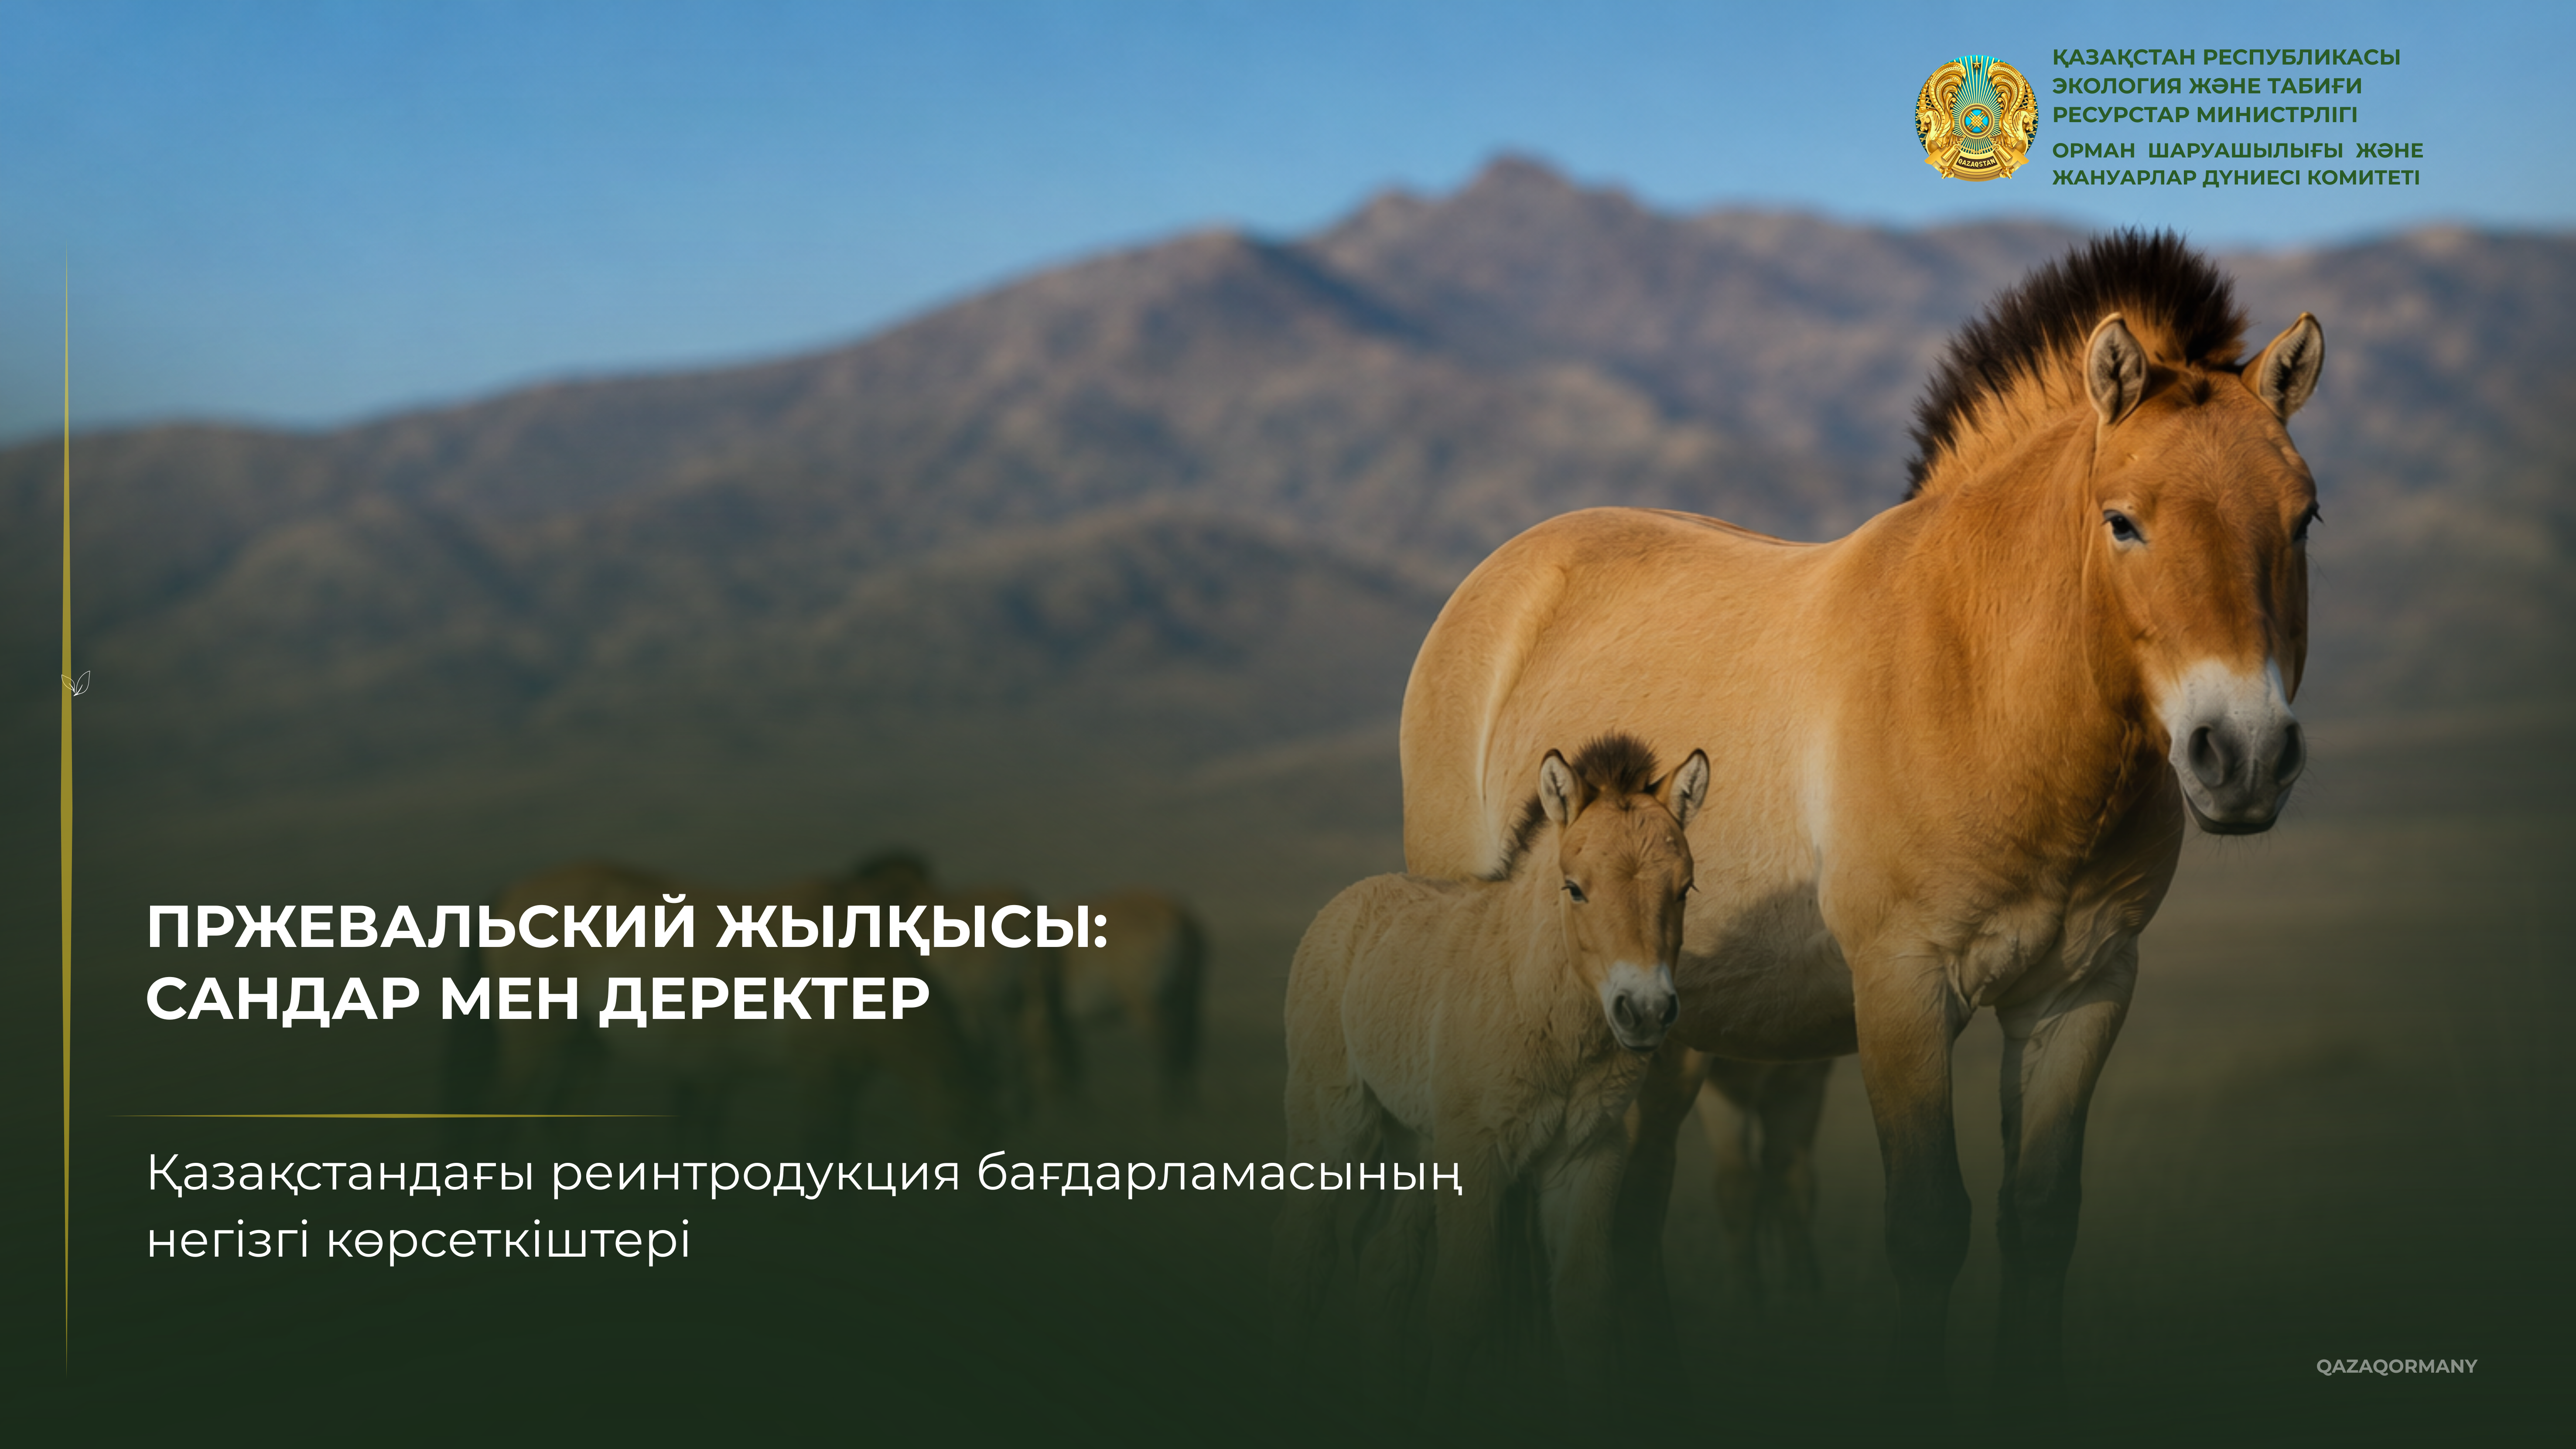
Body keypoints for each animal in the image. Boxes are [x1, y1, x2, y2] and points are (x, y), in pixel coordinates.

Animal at [1062, 887, 1208, 1107]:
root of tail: (1175, 913)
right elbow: (1072, 1065)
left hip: (1147, 1006)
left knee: (1168, 1049)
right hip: (1183, 1003)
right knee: (1185, 1051)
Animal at [1276, 733, 1709, 1406]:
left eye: (1684, 889)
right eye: (1574, 887)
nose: (1643, 1011)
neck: (1535, 1006)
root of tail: (1345, 905)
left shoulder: (1587, 1158)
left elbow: (1584, 1309)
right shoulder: (1475, 1156)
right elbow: (1462, 1305)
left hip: (1417, 1145)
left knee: (1383, 1266)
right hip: (1335, 1127)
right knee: (1308, 1258)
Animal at [1395, 231, 2325, 1397]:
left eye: (2303, 519)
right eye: (2123, 521)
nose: (2242, 754)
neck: (1980, 685)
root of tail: (1498, 577)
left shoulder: (2079, 995)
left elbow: (2038, 1220)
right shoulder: (1900, 990)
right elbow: (1928, 1227)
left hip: (1663, 1042)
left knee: (1631, 1220)